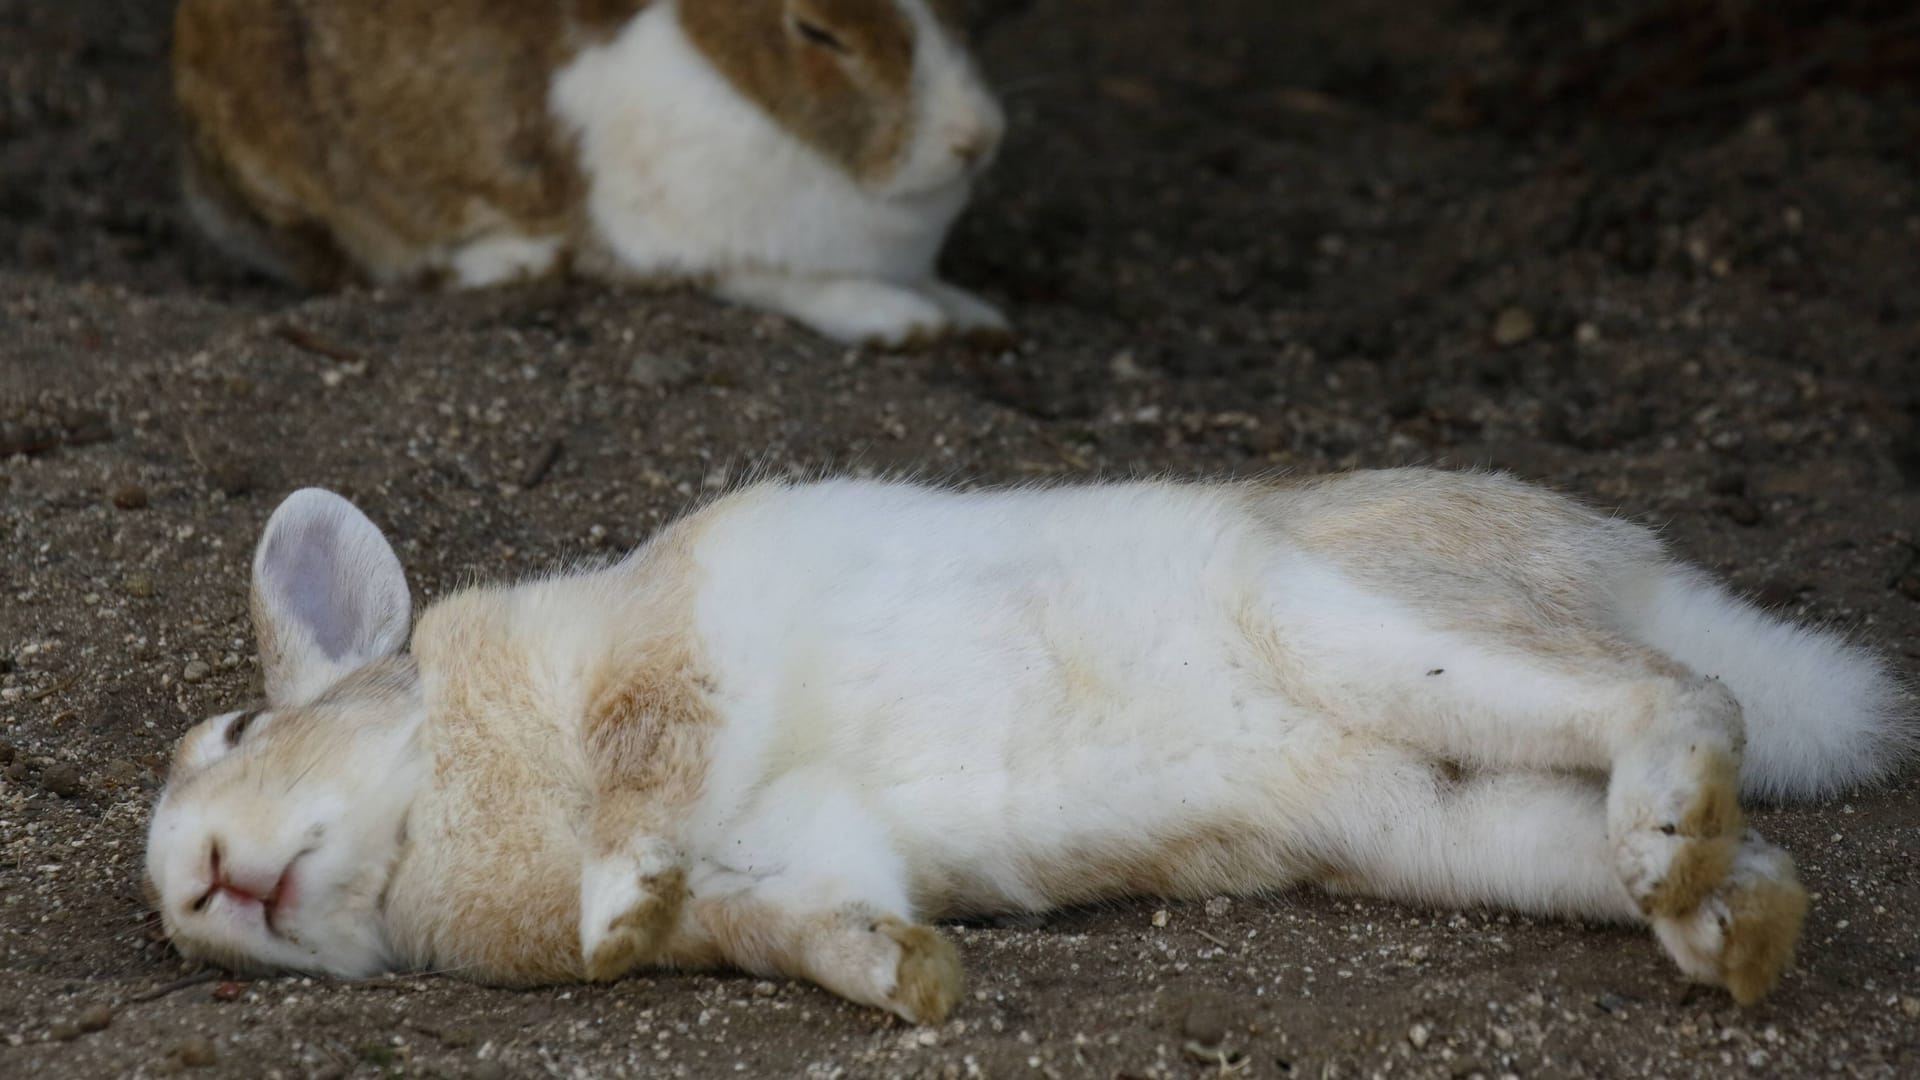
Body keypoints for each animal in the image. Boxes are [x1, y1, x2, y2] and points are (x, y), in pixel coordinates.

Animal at [142, 468, 1912, 1014]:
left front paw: (611, 905)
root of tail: (1624, 562)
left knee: (1683, 699)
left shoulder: (673, 655)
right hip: (1439, 816)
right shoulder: (787, 858)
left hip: (1366, 623)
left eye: (236, 726)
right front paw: (912, 981)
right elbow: (799, 922)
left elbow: (656, 760)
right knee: (1699, 837)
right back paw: (1727, 924)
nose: (194, 886)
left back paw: (1680, 827)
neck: (450, 782)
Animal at [174, 0, 1013, 343]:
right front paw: (902, 324)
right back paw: (515, 260)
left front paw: (976, 316)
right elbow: (788, 282)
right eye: (818, 32)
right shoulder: (668, 240)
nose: (977, 139)